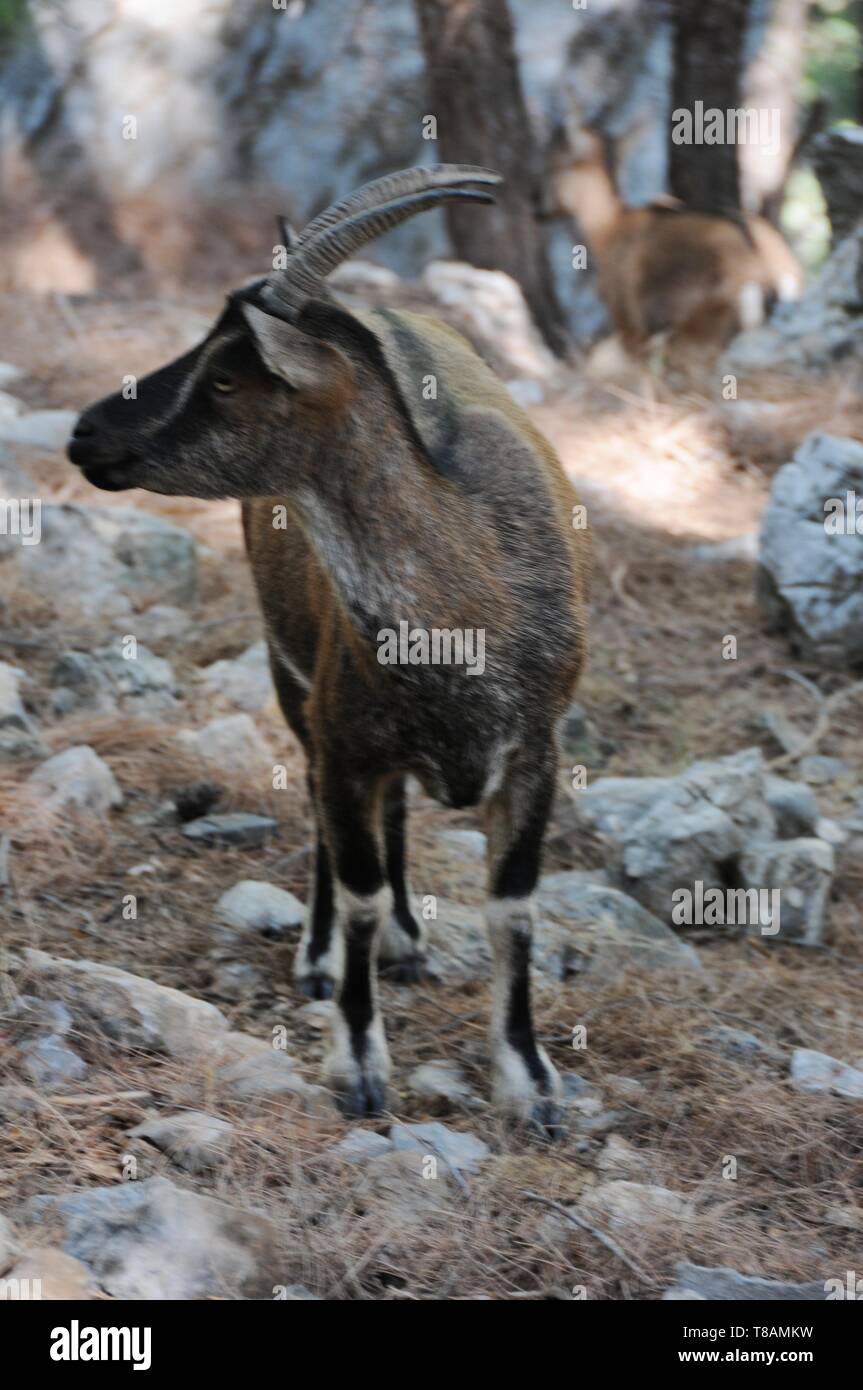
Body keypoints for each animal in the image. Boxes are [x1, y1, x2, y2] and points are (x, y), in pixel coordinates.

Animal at [67, 166, 589, 1135]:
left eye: (227, 376)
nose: (85, 434)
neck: (466, 607)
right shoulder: (344, 732)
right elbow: (356, 889)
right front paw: (355, 1065)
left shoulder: (536, 749)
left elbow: (512, 907)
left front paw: (530, 1082)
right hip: (294, 677)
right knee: (322, 807)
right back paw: (322, 958)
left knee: (394, 816)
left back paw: (410, 945)